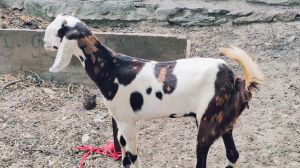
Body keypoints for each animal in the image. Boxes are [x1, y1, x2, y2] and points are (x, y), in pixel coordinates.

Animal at [43, 14, 264, 168]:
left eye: (55, 31)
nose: (44, 43)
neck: (111, 68)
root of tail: (234, 79)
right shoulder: (121, 123)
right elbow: (128, 156)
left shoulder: (126, 122)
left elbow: (131, 157)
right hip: (224, 122)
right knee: (233, 154)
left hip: (207, 123)